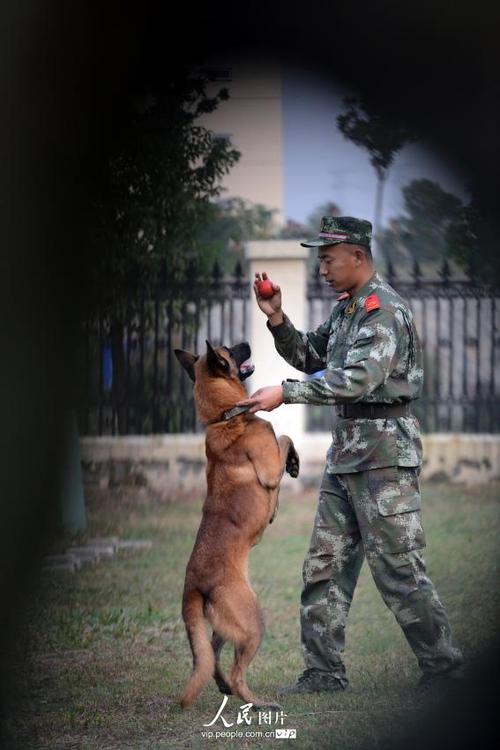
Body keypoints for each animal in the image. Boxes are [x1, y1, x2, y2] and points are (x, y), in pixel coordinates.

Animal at [175, 340, 298, 712]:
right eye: (228, 349)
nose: (246, 342)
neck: (224, 416)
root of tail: (193, 583)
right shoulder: (269, 467)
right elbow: (283, 436)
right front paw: (292, 465)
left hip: (224, 625)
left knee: (212, 658)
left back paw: (224, 686)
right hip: (253, 622)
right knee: (237, 670)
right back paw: (258, 703)